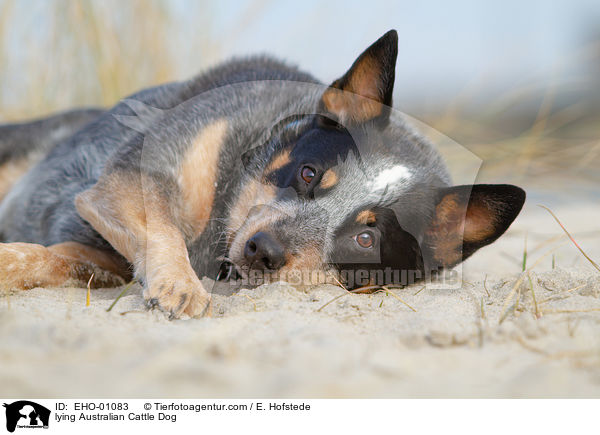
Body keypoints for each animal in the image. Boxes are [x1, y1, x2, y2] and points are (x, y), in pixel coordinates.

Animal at [0, 29, 524, 316]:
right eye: (310, 173)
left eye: (365, 239)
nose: (263, 250)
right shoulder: (136, 176)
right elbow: (163, 229)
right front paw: (181, 285)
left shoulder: (105, 257)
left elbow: (61, 259)